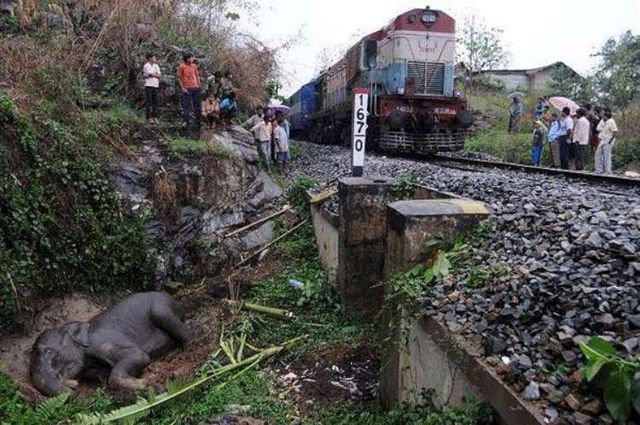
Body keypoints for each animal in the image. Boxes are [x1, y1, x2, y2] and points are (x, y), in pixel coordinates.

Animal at [30, 292, 192, 396]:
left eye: (49, 351)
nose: (73, 387)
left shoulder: (101, 341)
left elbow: (139, 356)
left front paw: (144, 382)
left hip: (161, 305)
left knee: (162, 314)